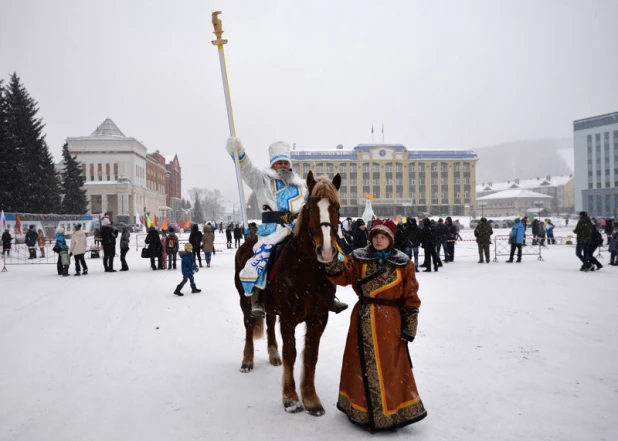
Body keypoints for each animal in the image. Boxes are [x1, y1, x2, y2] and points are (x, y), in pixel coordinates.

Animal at [233, 170, 342, 414]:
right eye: (309, 208)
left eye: (336, 208)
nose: (326, 250)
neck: (308, 269)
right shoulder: (289, 318)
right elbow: (291, 353)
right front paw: (291, 398)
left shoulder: (319, 317)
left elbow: (311, 355)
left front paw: (311, 398)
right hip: (245, 301)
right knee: (248, 326)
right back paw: (247, 360)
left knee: (270, 323)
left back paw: (272, 354)